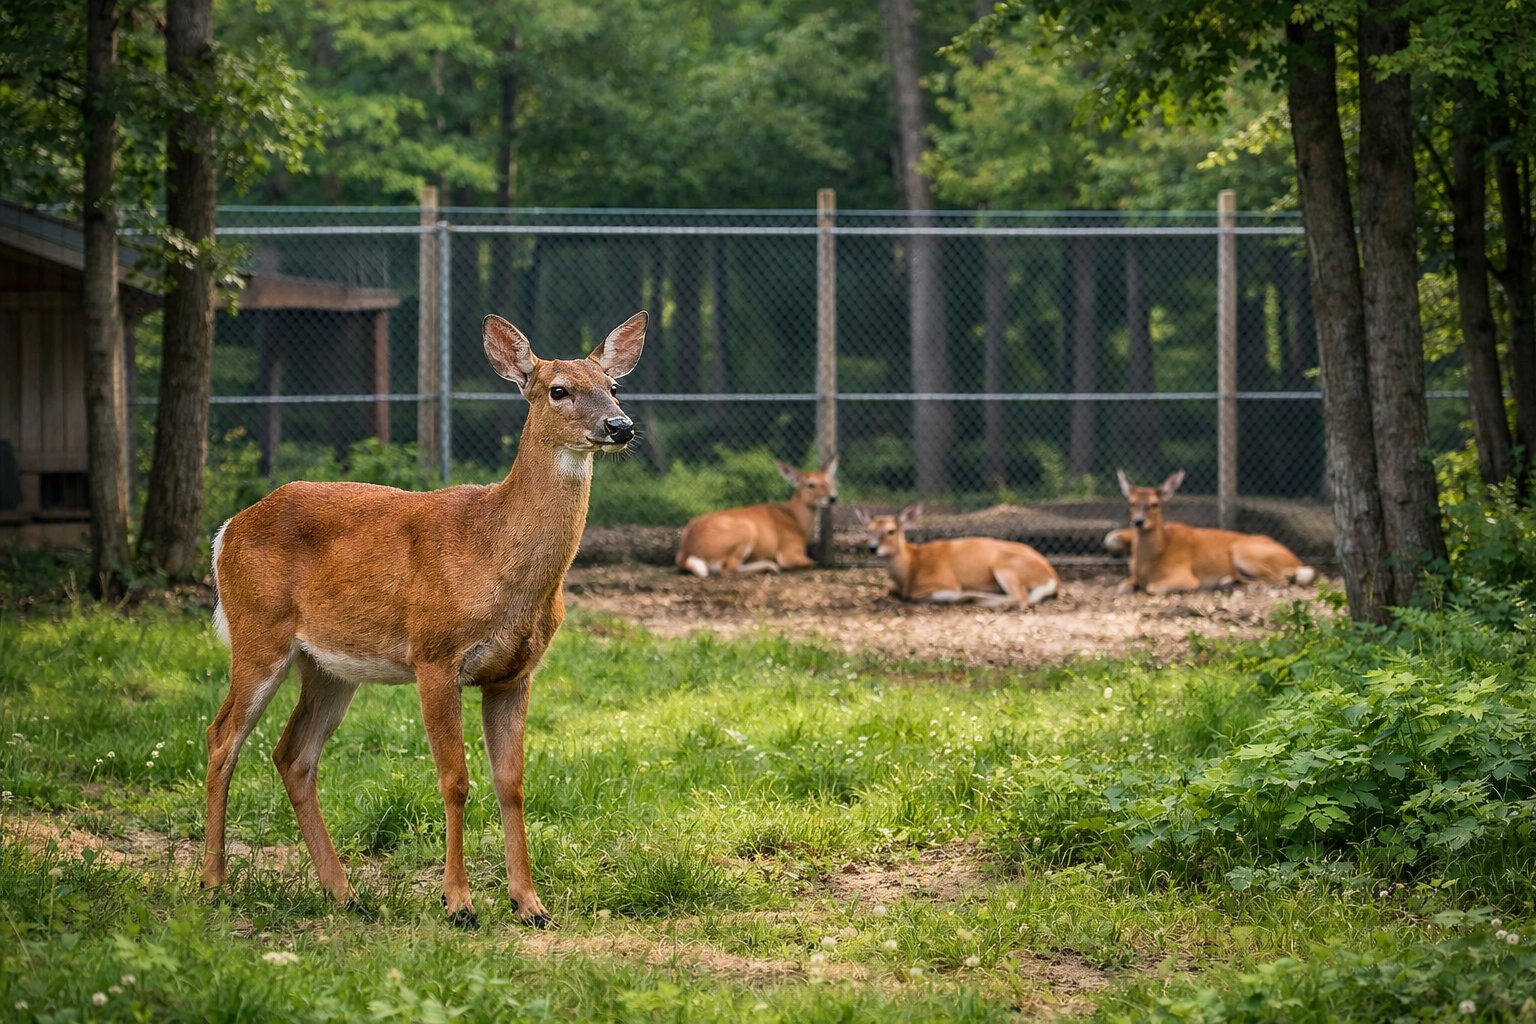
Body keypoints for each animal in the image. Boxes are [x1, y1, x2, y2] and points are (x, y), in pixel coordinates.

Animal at [200, 311, 646, 931]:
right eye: (558, 390)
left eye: (614, 387)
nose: (619, 426)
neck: (494, 554)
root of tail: (225, 533)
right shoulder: (434, 655)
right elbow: (455, 779)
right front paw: (459, 904)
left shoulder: (515, 673)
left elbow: (512, 783)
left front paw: (530, 904)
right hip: (258, 631)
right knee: (222, 737)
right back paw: (213, 883)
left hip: (330, 667)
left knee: (293, 754)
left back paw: (345, 893)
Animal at [674, 458, 837, 577]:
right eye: (811, 484)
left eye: (829, 482)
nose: (832, 497)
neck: (797, 521)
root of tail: (686, 552)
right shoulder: (788, 550)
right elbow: (812, 563)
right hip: (746, 529)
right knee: (728, 568)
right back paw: (770, 566)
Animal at [857, 503, 1060, 607]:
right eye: (868, 530)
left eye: (890, 531)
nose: (872, 548)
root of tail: (1052, 576)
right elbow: (889, 588)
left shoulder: (944, 580)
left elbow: (929, 595)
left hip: (1006, 566)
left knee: (1021, 598)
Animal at [1104, 469, 1316, 595]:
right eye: (1131, 503)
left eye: (1154, 504)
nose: (1138, 521)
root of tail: (1296, 561)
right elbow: (1123, 585)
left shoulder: (1185, 575)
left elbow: (1152, 587)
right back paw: (1227, 581)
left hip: (1244, 551)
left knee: (1279, 579)